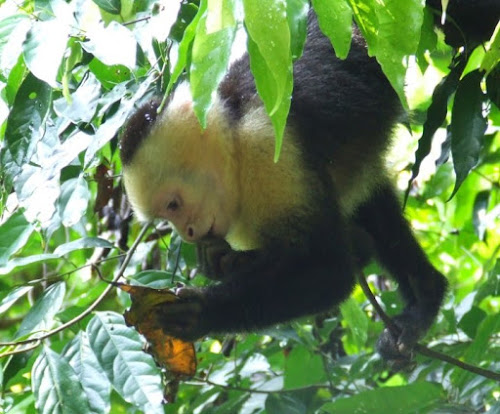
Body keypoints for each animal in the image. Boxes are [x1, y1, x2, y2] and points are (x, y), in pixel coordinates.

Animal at [119, 4, 498, 366]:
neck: (233, 126)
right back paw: (425, 295)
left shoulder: (267, 148)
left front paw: (202, 312)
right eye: (167, 218)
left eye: (173, 205)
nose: (187, 234)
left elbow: (330, 268)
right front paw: (218, 259)